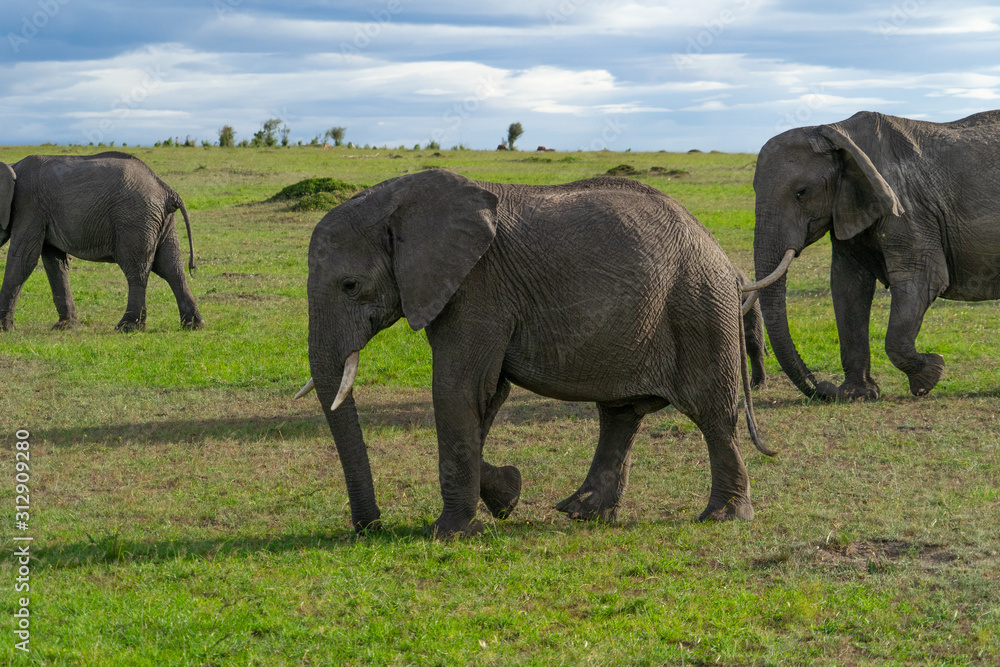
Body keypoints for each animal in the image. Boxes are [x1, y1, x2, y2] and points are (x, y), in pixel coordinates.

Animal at [0, 151, 203, 332]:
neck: (12, 166)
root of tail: (167, 190)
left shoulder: (28, 206)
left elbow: (23, 260)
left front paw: (5, 330)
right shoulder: (41, 213)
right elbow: (55, 263)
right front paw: (65, 327)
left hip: (135, 219)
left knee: (137, 269)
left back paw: (126, 327)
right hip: (161, 221)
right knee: (171, 268)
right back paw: (192, 325)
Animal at [298, 168, 774, 537]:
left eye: (350, 285)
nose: (370, 527)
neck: (401, 199)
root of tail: (725, 261)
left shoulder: (479, 286)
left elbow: (458, 389)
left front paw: (449, 533)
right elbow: (486, 394)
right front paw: (507, 496)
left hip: (698, 307)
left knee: (713, 414)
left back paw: (723, 516)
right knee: (620, 414)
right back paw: (582, 512)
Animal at [752, 110, 1000, 400]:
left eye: (801, 193)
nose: (824, 387)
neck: (835, 130)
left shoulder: (908, 210)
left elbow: (922, 279)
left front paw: (930, 374)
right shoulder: (848, 206)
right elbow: (848, 287)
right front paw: (857, 395)